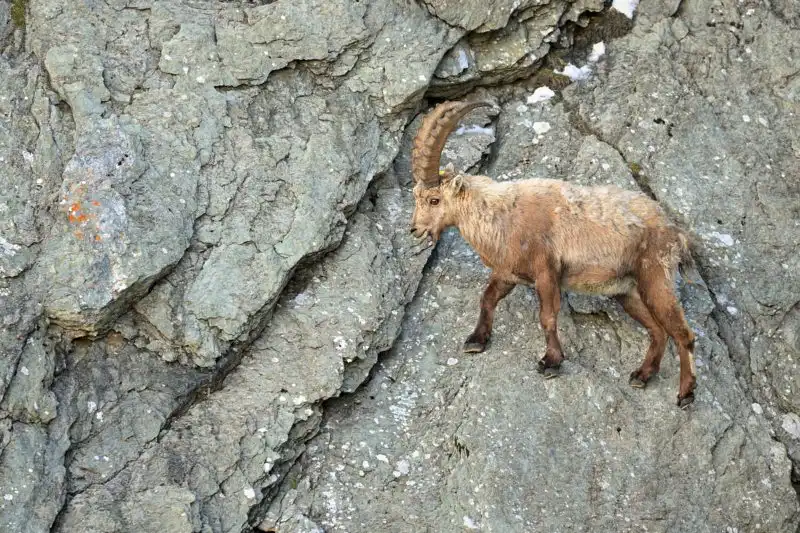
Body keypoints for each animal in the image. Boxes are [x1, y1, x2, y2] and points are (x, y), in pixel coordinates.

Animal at [409, 101, 697, 408]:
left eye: (434, 200)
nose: (414, 229)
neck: (502, 215)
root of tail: (674, 231)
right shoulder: (509, 272)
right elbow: (487, 298)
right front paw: (476, 340)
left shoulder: (546, 271)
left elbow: (547, 316)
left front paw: (551, 362)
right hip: (626, 291)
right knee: (658, 331)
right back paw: (642, 376)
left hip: (655, 277)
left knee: (683, 333)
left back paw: (686, 393)